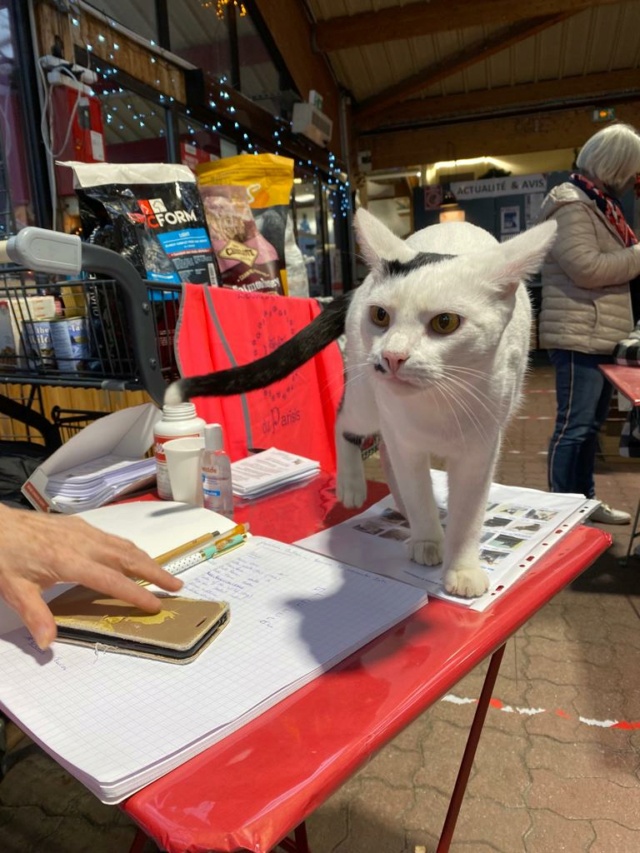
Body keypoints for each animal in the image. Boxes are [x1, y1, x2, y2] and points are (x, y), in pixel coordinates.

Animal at [165, 210, 556, 596]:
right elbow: (418, 490)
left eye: (445, 322)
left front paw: (461, 565)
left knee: (386, 454)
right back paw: (354, 487)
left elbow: (469, 514)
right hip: (365, 394)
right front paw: (428, 538)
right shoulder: (404, 436)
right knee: (346, 421)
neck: (435, 403)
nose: (393, 356)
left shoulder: (480, 450)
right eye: (381, 316)